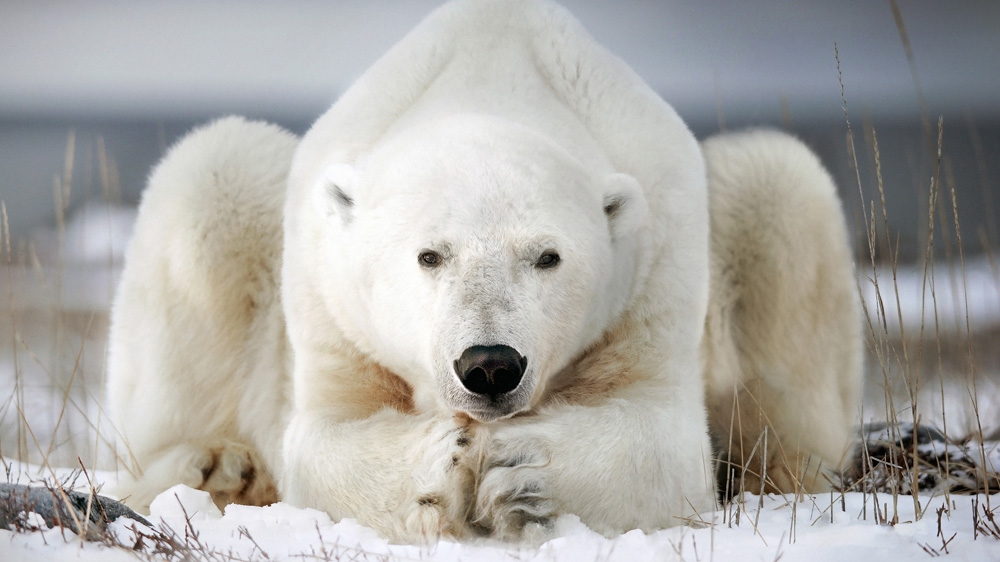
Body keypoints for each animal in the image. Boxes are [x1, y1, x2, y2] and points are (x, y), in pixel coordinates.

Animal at [106, 0, 861, 544]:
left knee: (778, 189)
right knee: (213, 173)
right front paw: (442, 465)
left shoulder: (656, 263)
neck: (493, 75)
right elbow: (324, 437)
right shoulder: (331, 300)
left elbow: (662, 437)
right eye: (429, 254)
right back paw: (215, 467)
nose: (491, 365)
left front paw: (518, 471)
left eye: (547, 256)